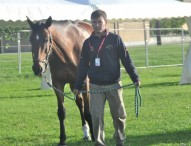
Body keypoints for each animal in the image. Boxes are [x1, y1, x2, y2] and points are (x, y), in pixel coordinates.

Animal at [26, 16, 94, 146]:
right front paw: (62, 139)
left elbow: (89, 112)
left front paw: (95, 136)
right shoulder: (58, 85)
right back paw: (85, 133)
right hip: (73, 84)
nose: (37, 68)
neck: (68, 52)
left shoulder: (85, 83)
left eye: (46, 39)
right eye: (31, 39)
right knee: (80, 103)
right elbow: (61, 112)